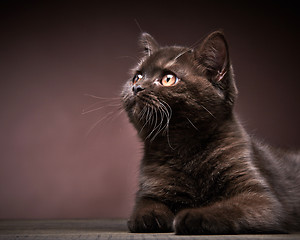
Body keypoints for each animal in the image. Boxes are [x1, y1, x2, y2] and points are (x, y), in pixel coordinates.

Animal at [121, 30, 300, 234]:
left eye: (168, 79)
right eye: (137, 77)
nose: (136, 87)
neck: (183, 149)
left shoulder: (262, 200)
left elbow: (229, 207)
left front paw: (194, 215)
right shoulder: (150, 189)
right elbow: (145, 206)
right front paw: (150, 217)